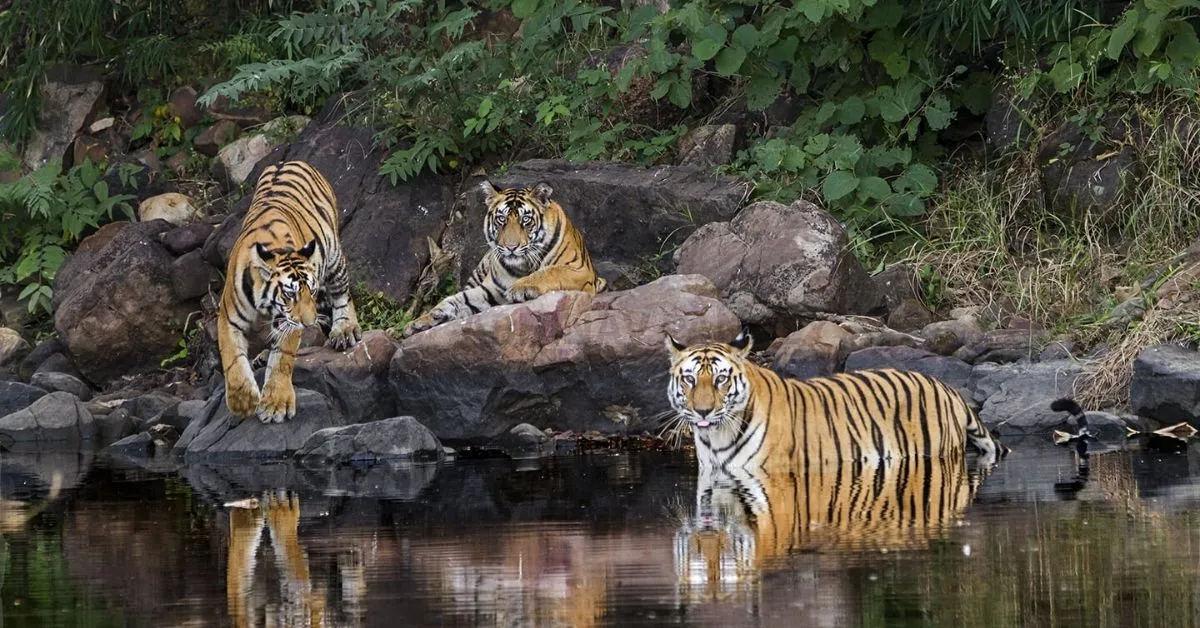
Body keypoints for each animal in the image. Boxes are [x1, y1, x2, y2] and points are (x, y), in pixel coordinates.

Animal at [217, 160, 362, 423]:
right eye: (289, 294)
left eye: (311, 292)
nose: (309, 322)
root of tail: (286, 161)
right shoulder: (228, 317)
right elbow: (232, 357)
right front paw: (243, 401)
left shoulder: (289, 322)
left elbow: (283, 357)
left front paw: (276, 404)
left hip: (333, 254)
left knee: (342, 294)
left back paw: (344, 329)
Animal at [400, 180, 604, 337]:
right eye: (501, 219)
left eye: (525, 220)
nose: (511, 247)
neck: (523, 266)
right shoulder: (488, 290)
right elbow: (456, 300)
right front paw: (422, 320)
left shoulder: (580, 271)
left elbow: (551, 271)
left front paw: (520, 288)